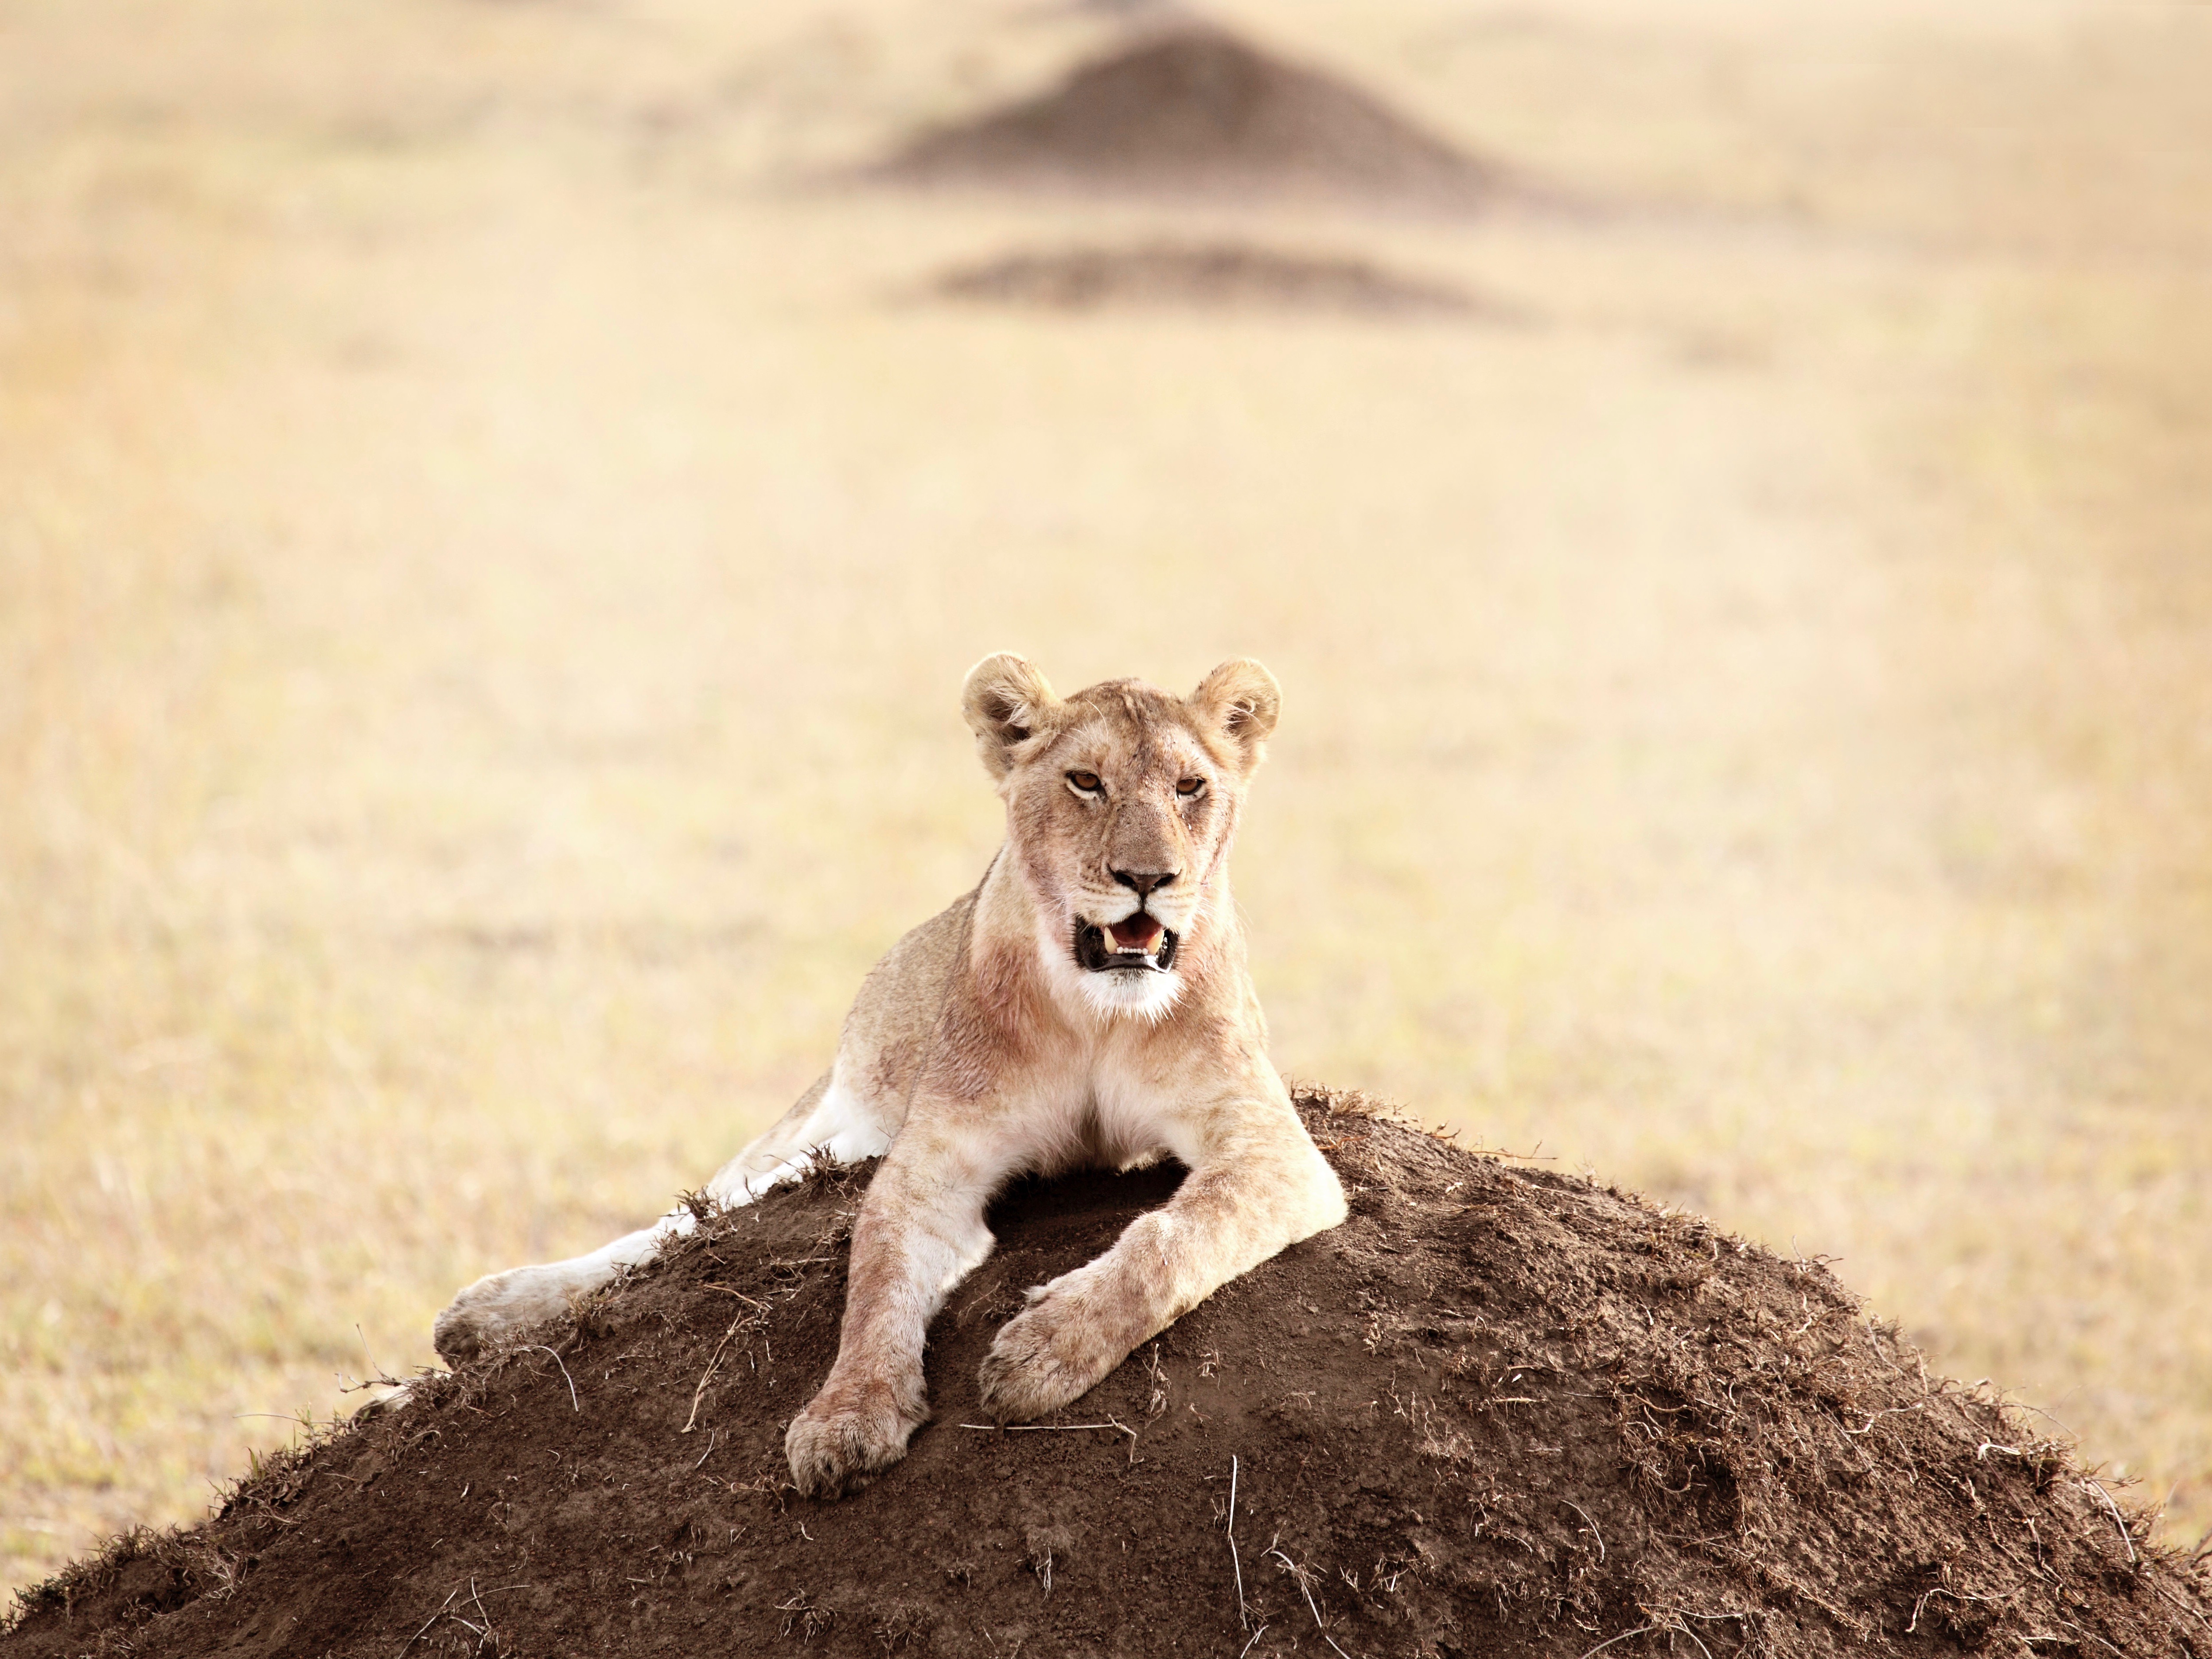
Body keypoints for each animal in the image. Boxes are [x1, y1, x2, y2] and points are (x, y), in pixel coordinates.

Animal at [422, 654, 1336, 1504]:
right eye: (1086, 780)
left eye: (1190, 787)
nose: (1148, 878)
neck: (1097, 1014)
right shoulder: (934, 1155)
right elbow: (878, 1277)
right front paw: (847, 1417)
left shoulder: (1273, 1147)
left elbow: (1176, 1238)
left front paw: (1045, 1350)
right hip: (815, 1136)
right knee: (677, 1225)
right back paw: (484, 1314)